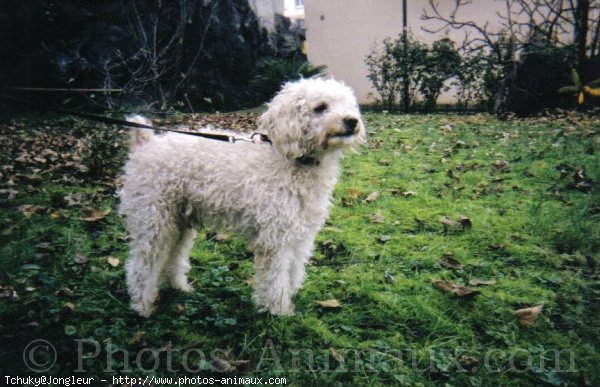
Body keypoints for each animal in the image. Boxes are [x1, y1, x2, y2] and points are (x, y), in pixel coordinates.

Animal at [119, 77, 366, 316]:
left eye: (348, 104)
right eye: (320, 107)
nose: (352, 121)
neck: (293, 161)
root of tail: (146, 143)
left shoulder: (300, 234)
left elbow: (294, 269)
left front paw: (290, 294)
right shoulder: (275, 238)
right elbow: (275, 277)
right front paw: (278, 310)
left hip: (179, 221)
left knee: (173, 255)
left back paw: (178, 287)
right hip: (153, 218)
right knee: (142, 264)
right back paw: (142, 305)